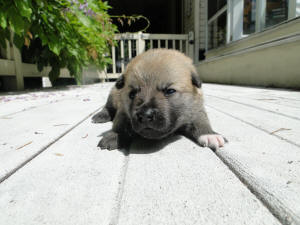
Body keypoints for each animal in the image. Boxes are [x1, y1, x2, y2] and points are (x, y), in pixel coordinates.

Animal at [92, 49, 226, 151]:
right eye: (132, 94)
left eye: (170, 91)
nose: (145, 115)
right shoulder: (123, 110)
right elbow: (120, 123)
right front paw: (115, 135)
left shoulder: (195, 108)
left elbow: (201, 120)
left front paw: (209, 134)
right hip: (113, 94)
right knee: (107, 106)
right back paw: (101, 115)